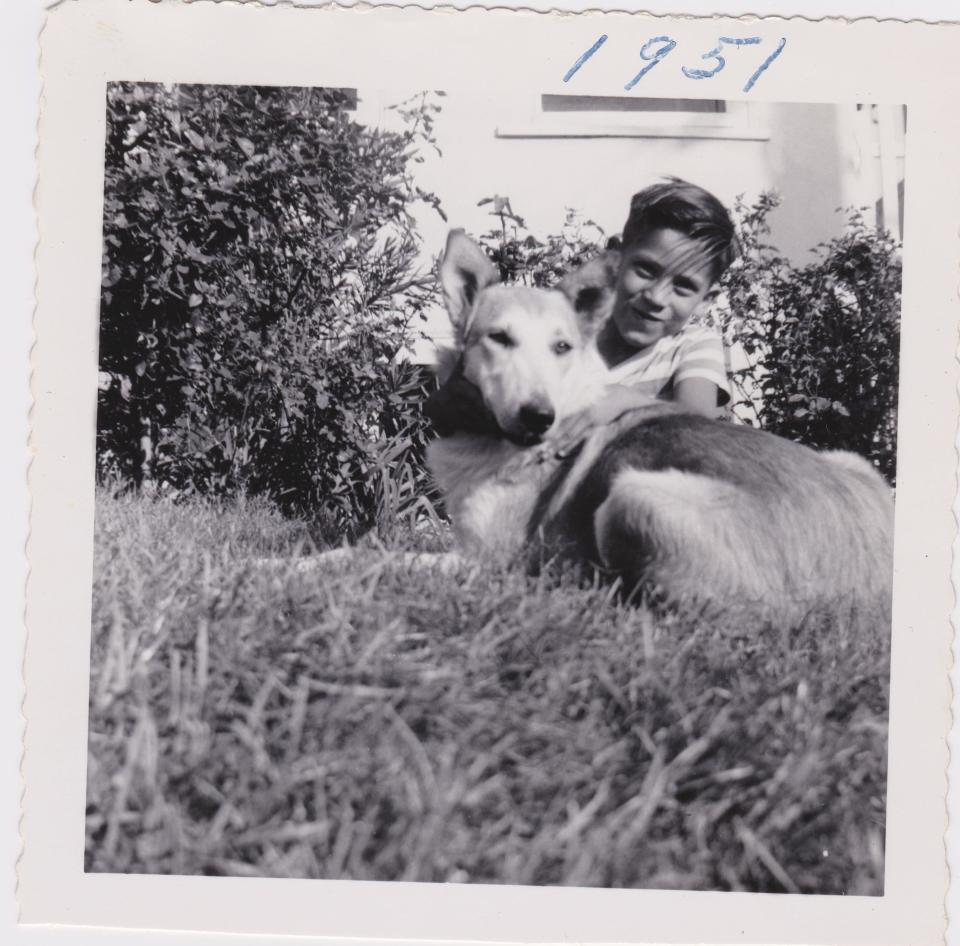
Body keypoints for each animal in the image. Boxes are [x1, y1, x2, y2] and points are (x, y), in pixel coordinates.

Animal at [424, 228, 896, 628]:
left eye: (562, 347)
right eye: (500, 338)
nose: (539, 417)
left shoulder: (485, 562)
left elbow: (408, 558)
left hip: (633, 497)